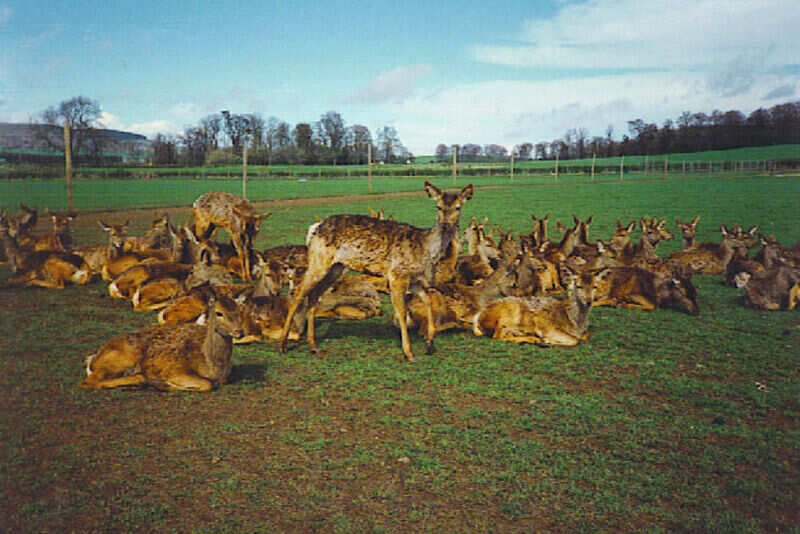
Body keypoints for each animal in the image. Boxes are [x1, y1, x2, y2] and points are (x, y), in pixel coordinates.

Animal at [80, 293, 243, 392]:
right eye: (219, 312)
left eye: (240, 311)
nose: (239, 332)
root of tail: (92, 360)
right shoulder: (175, 370)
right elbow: (207, 384)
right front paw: (166, 384)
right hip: (123, 358)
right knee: (88, 382)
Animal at [279, 181, 474, 361]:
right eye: (438, 206)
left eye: (458, 207)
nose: (445, 225)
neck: (427, 252)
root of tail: (315, 229)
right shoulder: (396, 274)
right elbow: (402, 311)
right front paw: (409, 353)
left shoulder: (415, 280)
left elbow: (427, 300)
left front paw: (430, 342)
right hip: (318, 261)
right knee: (298, 294)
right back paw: (283, 345)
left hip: (336, 267)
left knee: (313, 295)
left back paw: (313, 345)